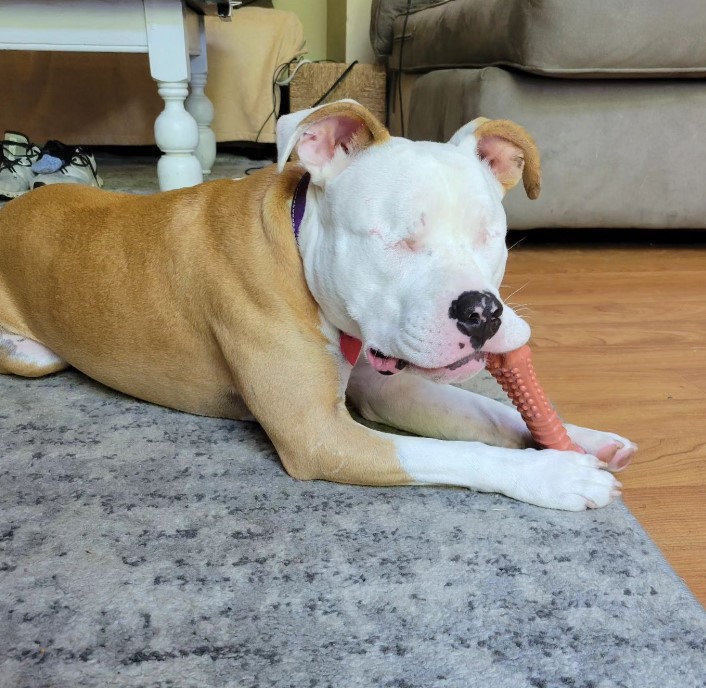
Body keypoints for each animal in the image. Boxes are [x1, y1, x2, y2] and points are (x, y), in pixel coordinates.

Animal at [0, 99, 636, 508]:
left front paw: (584, 439)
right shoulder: (317, 434)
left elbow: (484, 413)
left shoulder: (382, 383)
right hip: (35, 359)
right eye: (396, 239)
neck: (297, 241)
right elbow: (458, 453)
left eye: (491, 237)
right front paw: (557, 476)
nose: (482, 312)